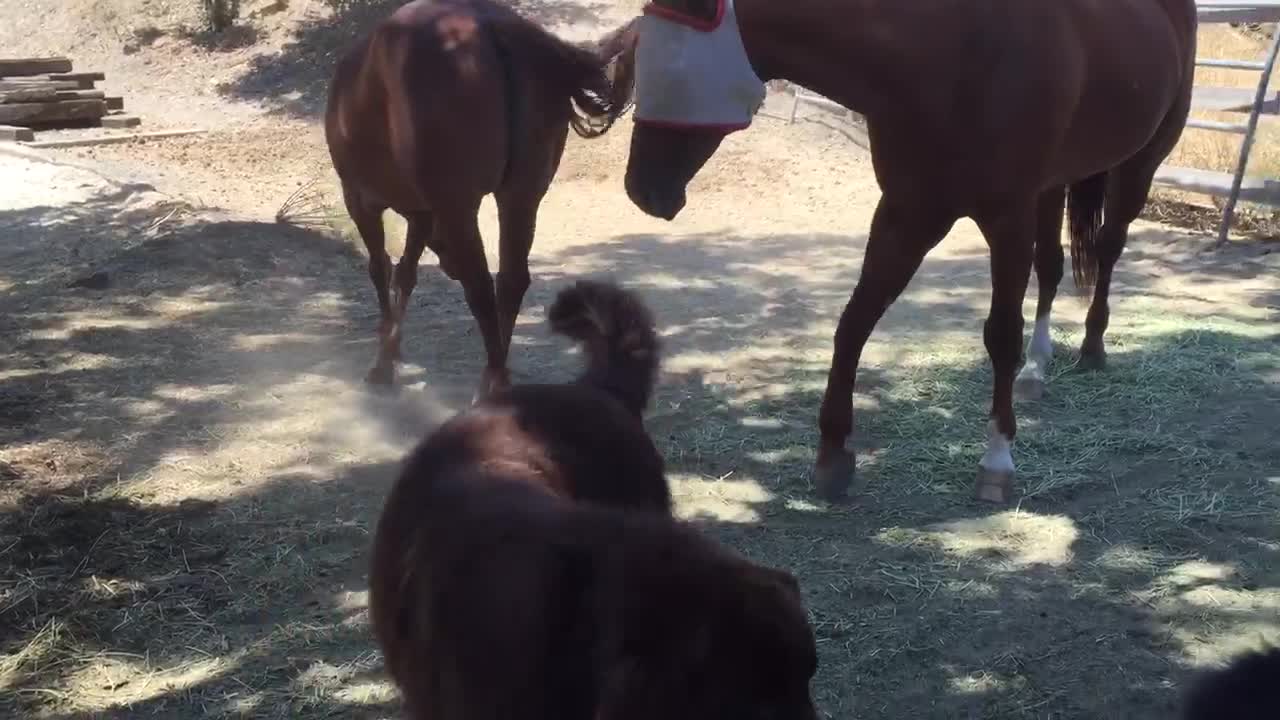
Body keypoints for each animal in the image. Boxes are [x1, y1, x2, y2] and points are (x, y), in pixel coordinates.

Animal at [322, 0, 637, 392]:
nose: (451, 267)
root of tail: (492, 24)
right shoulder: (424, 213)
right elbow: (405, 273)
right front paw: (392, 349)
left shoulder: (361, 200)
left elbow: (381, 268)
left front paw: (383, 362)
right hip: (521, 195)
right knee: (511, 280)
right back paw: (496, 378)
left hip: (459, 205)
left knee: (482, 288)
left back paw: (491, 383)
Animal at [622, 0, 1198, 502]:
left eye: (668, 70)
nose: (641, 190)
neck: (955, 51)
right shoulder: (909, 212)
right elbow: (854, 322)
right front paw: (833, 455)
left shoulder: (1005, 219)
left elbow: (1000, 335)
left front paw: (996, 462)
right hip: (1053, 184)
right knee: (1053, 268)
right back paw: (1037, 369)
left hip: (1140, 164)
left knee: (1107, 250)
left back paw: (1092, 347)